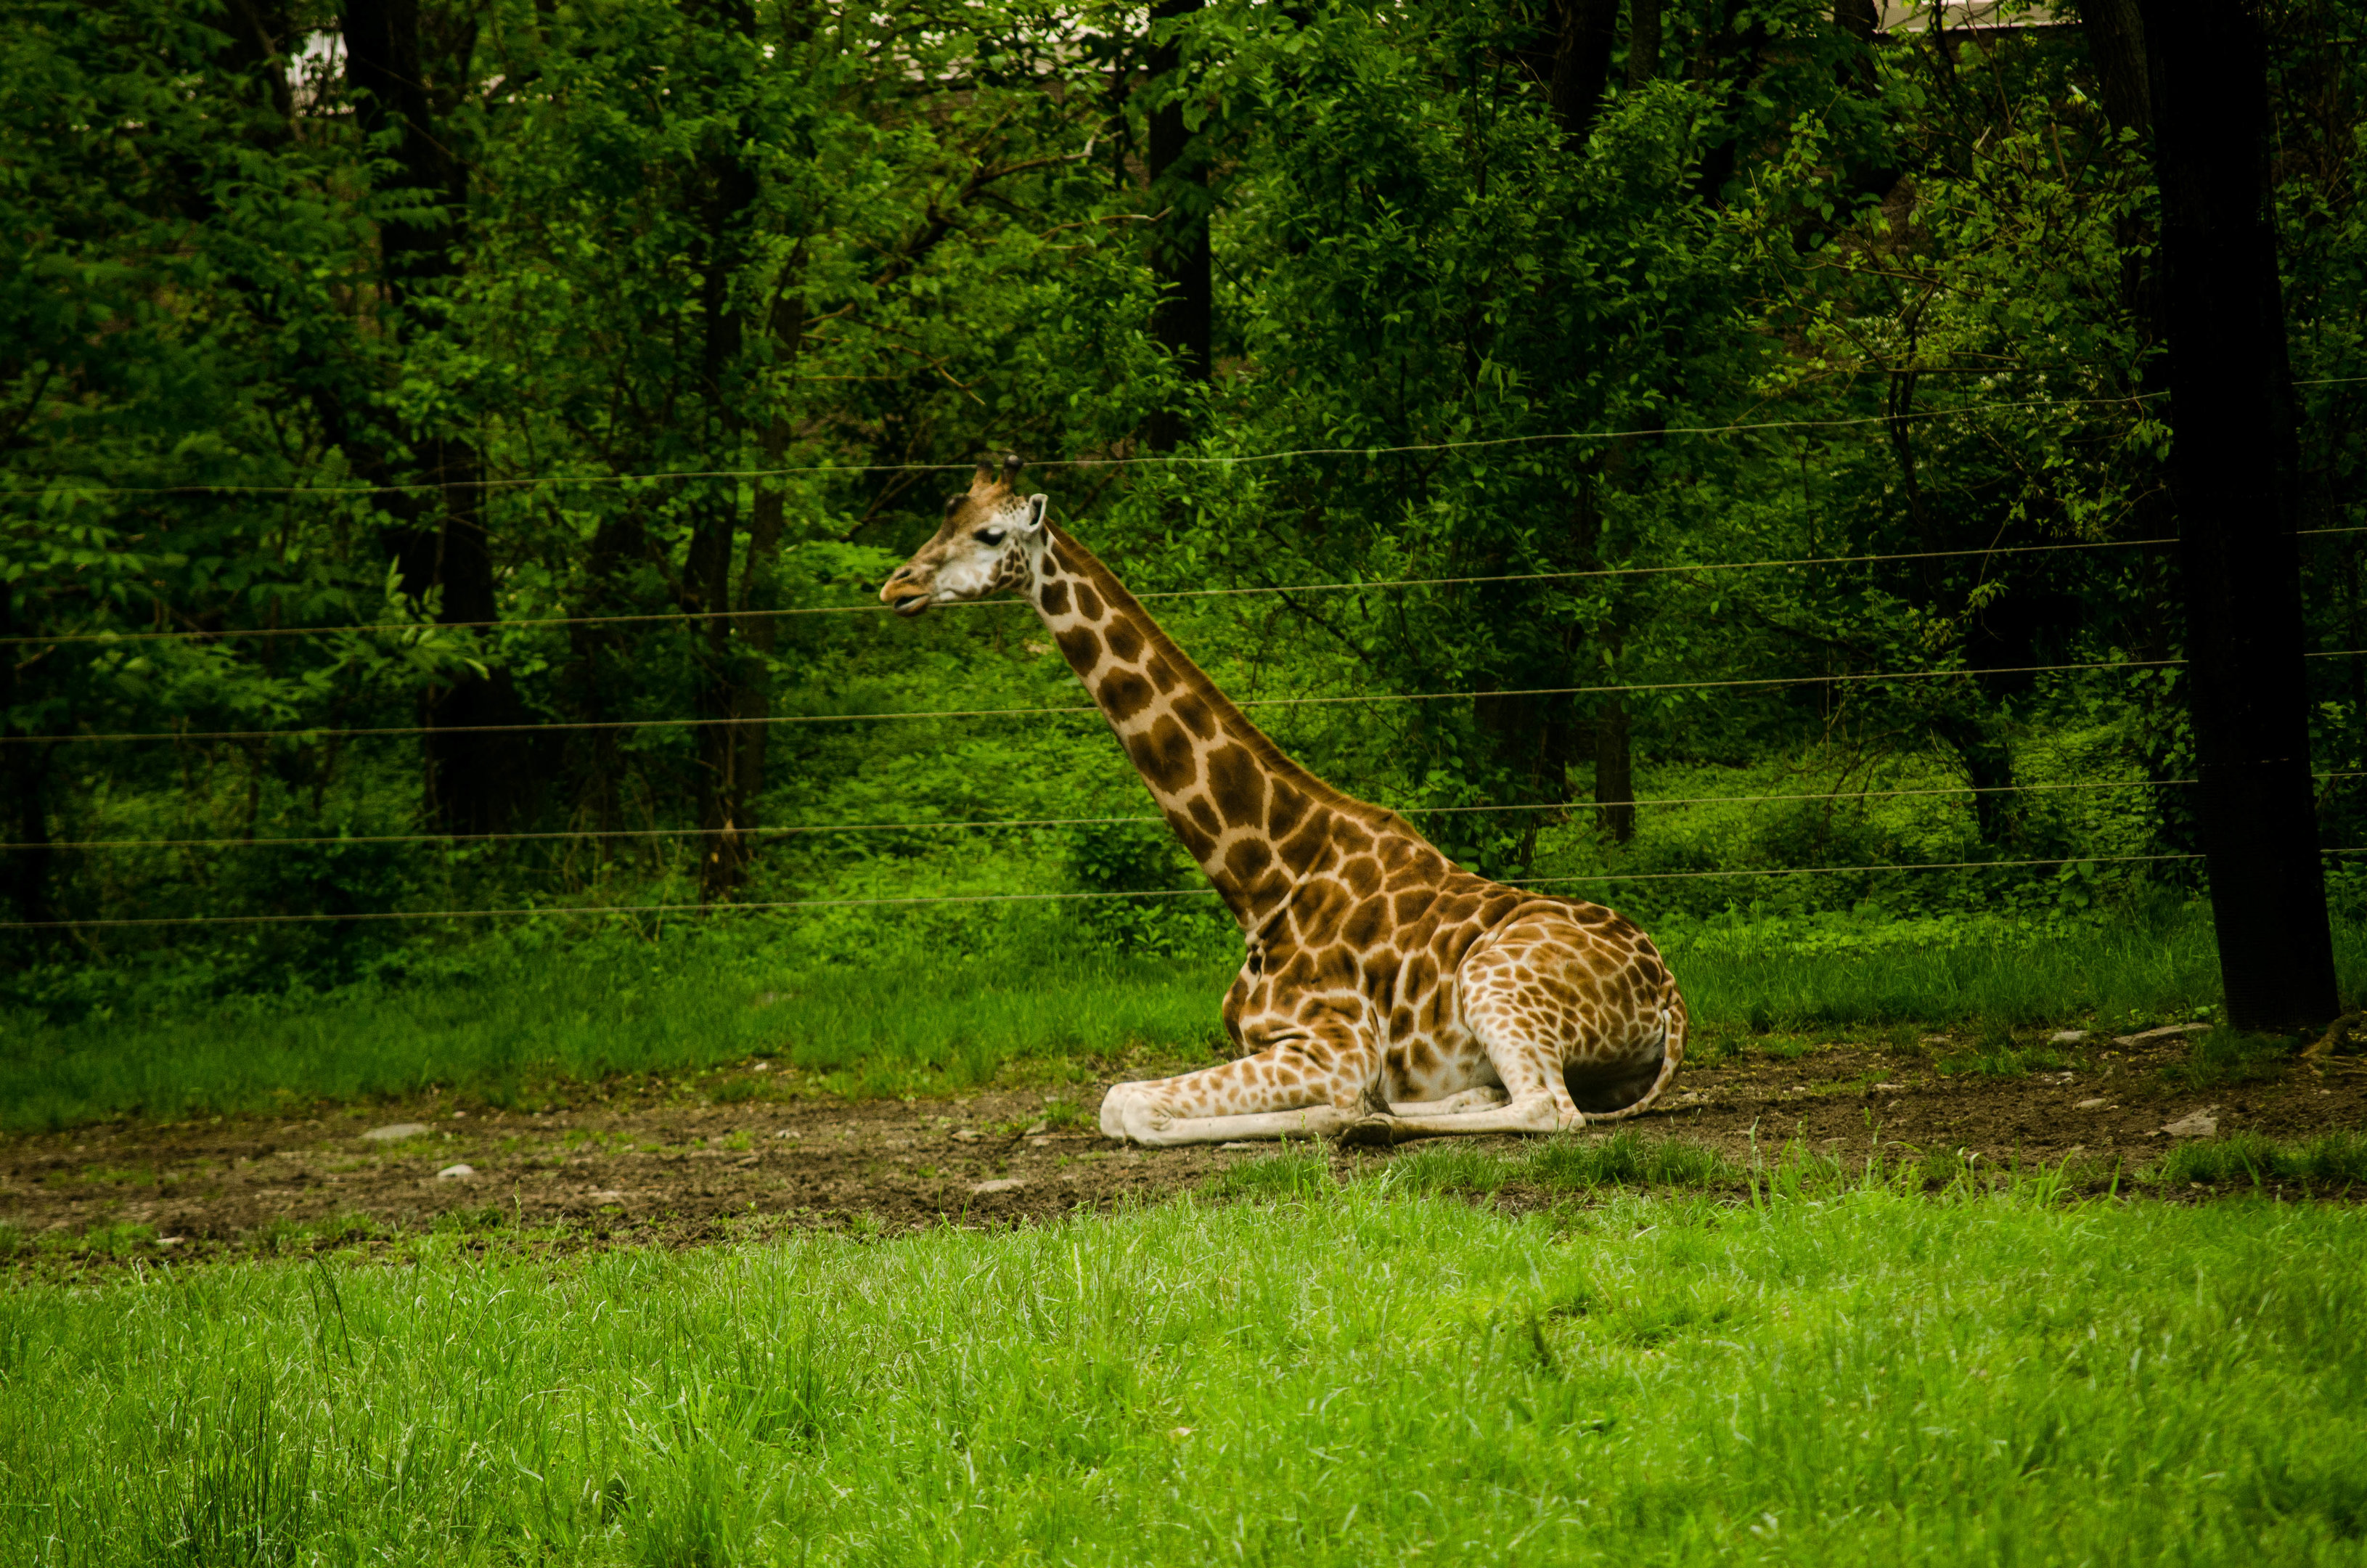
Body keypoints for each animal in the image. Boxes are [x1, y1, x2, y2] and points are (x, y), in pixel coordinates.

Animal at [880, 454, 1686, 1148]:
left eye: (990, 535)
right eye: (944, 520)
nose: (897, 588)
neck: (1263, 878)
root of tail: (1669, 999)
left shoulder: (1330, 1045)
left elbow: (1124, 1101)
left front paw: (1341, 1113)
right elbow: (1125, 1099)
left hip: (1495, 982)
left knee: (1549, 1109)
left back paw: (1369, 1122)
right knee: (1515, 1096)